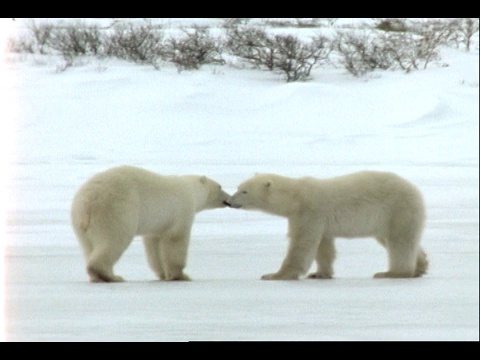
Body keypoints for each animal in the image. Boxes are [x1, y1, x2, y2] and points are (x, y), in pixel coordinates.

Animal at [70, 165, 230, 282]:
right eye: (220, 187)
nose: (229, 198)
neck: (190, 189)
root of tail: (87, 202)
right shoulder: (182, 211)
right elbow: (175, 240)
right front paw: (180, 275)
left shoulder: (158, 223)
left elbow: (154, 246)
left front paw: (163, 274)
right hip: (115, 211)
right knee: (113, 240)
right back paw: (110, 276)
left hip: (79, 222)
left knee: (88, 246)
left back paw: (99, 276)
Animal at [227, 172, 430, 282]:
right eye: (238, 187)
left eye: (244, 191)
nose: (229, 201)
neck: (296, 198)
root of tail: (417, 191)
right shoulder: (319, 221)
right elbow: (323, 247)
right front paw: (320, 274)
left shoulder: (309, 212)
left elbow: (301, 245)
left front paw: (274, 275)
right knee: (396, 239)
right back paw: (421, 266)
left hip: (397, 209)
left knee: (400, 241)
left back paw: (392, 272)